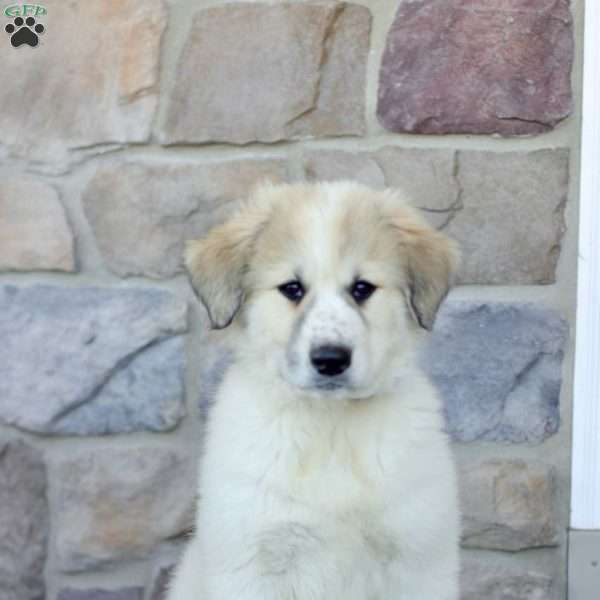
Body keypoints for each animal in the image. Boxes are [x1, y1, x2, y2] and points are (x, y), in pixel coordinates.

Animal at [166, 180, 462, 596]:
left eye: (362, 288)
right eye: (292, 289)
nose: (330, 360)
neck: (330, 426)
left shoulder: (417, 561)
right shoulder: (254, 562)